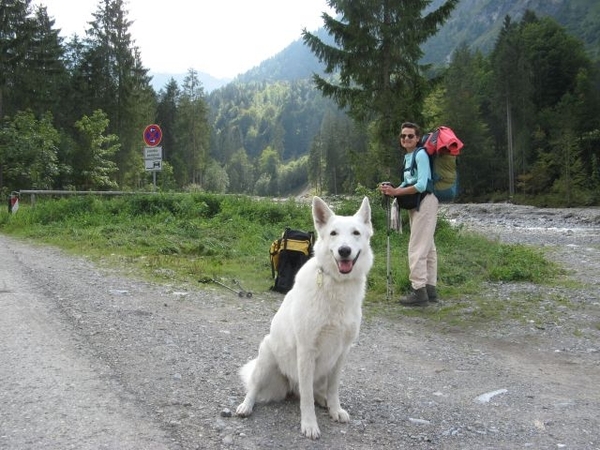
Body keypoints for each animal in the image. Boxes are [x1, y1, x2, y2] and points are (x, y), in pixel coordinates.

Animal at [236, 196, 372, 440]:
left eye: (356, 233)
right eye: (334, 233)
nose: (344, 251)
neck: (336, 285)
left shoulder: (342, 353)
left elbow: (333, 389)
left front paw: (335, 409)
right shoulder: (307, 350)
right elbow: (306, 397)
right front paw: (309, 424)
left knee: (317, 391)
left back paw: (324, 401)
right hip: (266, 359)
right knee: (255, 388)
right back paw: (246, 406)